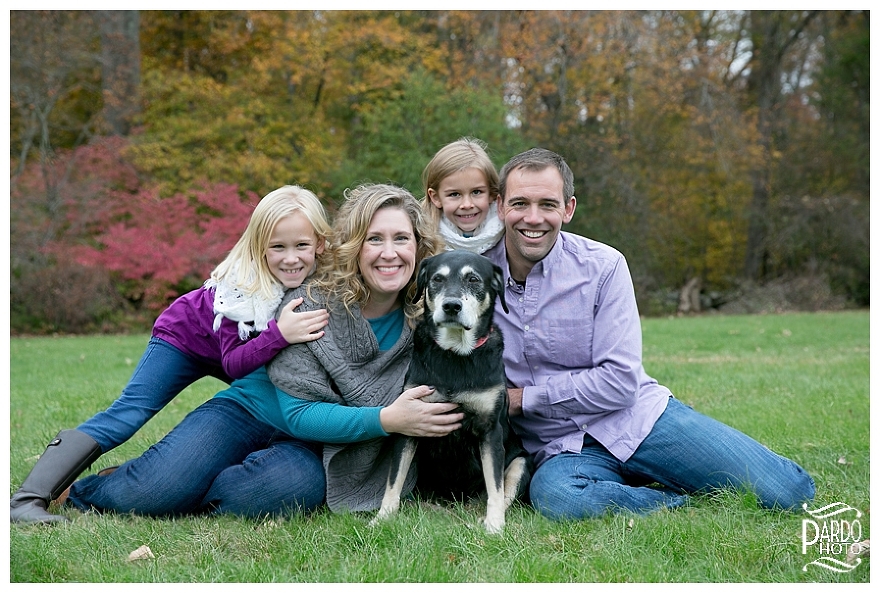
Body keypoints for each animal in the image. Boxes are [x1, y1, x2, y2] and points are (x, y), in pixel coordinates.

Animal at [372, 249, 528, 532]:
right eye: (437, 279)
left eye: (473, 279)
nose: (452, 306)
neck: (455, 353)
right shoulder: (409, 423)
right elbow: (393, 481)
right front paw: (382, 518)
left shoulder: (490, 430)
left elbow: (496, 487)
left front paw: (495, 525)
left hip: (520, 462)